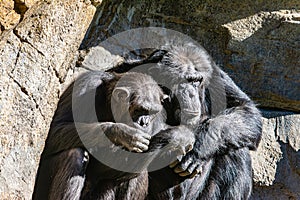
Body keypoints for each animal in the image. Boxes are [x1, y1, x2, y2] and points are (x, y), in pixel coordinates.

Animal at [32, 71, 195, 199]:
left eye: (152, 112)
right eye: (139, 110)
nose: (144, 122)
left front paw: (182, 143)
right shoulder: (84, 87)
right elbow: (55, 130)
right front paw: (122, 133)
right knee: (74, 155)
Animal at [113, 43, 262, 199]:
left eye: (196, 81)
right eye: (183, 81)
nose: (191, 93)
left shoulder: (215, 75)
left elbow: (244, 107)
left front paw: (198, 147)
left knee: (236, 150)